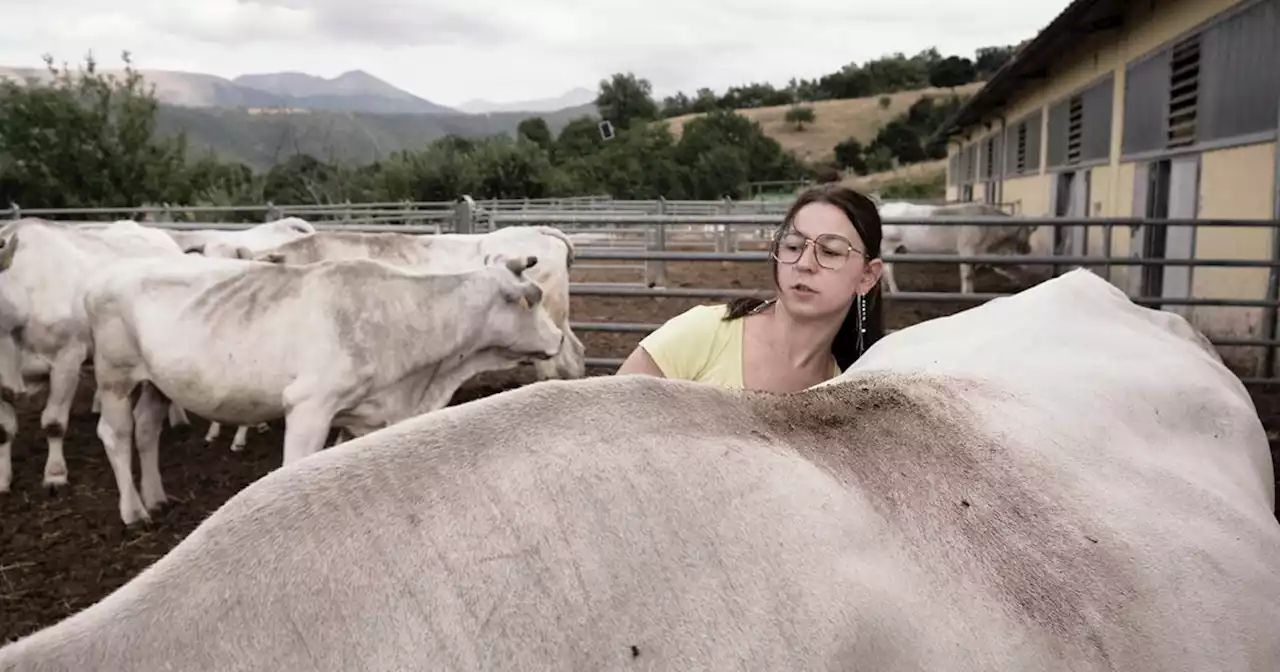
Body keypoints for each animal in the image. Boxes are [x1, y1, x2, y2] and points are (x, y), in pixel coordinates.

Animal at [80, 253, 560, 524]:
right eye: (531, 300)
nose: (558, 337)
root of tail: (106, 274)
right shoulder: (310, 404)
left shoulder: (364, 413)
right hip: (114, 374)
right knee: (116, 433)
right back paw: (134, 512)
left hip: (156, 382)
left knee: (146, 430)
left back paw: (157, 498)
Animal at [875, 199, 1034, 293]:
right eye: (1026, 232)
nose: (1028, 249)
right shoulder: (966, 249)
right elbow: (967, 274)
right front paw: (966, 294)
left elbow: (972, 274)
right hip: (888, 246)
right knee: (888, 269)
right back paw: (896, 291)